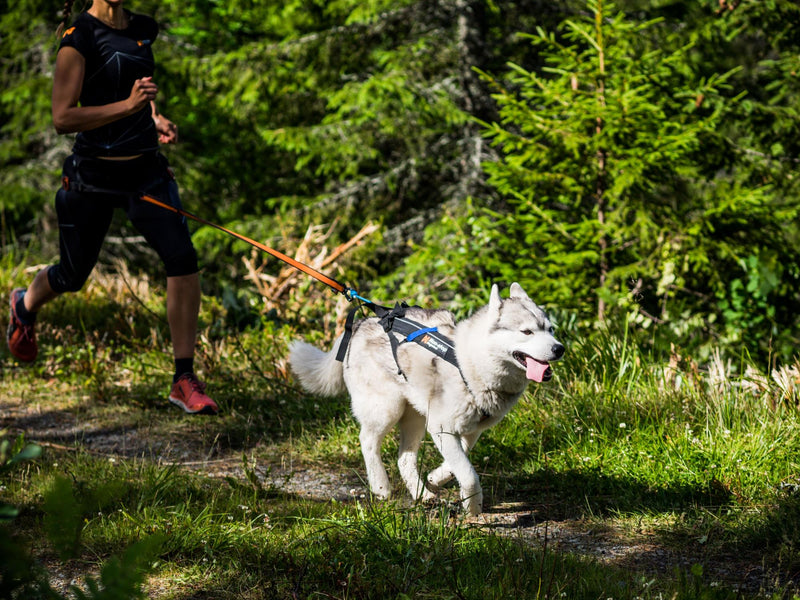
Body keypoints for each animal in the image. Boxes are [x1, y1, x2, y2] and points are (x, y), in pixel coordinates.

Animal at [288, 284, 564, 512]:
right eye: (526, 332)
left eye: (550, 329)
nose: (559, 348)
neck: (470, 364)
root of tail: (362, 324)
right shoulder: (441, 427)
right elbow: (468, 473)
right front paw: (473, 507)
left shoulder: (470, 430)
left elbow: (458, 461)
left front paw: (436, 478)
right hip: (386, 409)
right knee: (367, 441)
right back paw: (381, 486)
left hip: (416, 419)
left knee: (404, 459)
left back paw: (423, 494)